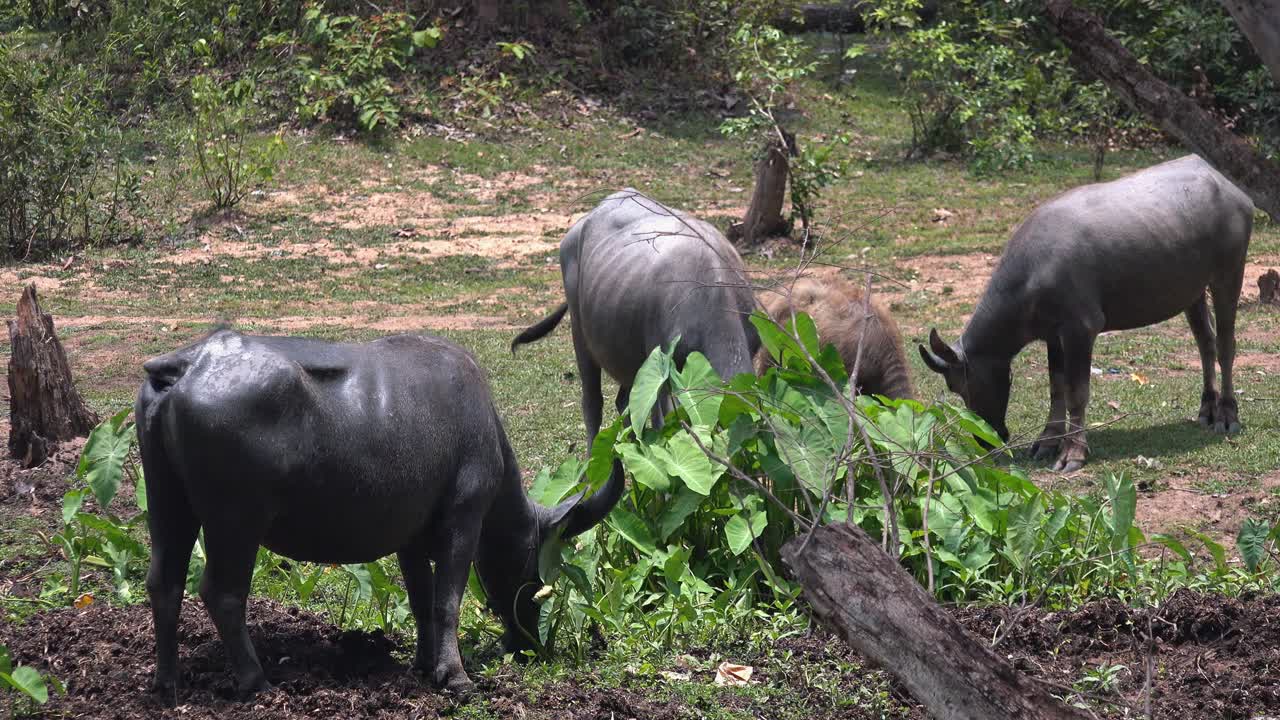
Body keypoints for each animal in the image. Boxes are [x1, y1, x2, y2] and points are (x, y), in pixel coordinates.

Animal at [136, 329, 624, 700]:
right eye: (534, 570)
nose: (529, 646)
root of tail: (188, 364)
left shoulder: (410, 540)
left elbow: (422, 600)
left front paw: (425, 665)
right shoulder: (464, 520)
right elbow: (447, 601)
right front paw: (455, 675)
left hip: (166, 502)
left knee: (164, 583)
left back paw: (166, 683)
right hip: (236, 522)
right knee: (222, 593)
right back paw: (256, 681)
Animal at [920, 155, 1252, 472]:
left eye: (960, 384)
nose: (986, 439)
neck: (1032, 273)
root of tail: (1234, 191)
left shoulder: (1080, 329)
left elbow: (1076, 392)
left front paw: (1073, 452)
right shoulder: (1053, 334)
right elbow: (1056, 388)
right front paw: (1048, 441)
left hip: (1228, 274)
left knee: (1225, 345)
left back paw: (1227, 414)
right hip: (1192, 291)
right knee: (1205, 343)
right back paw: (1207, 409)